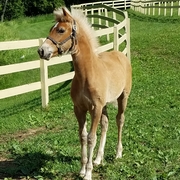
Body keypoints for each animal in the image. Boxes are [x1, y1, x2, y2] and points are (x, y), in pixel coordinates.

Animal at [38, 7, 131, 180]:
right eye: (51, 28)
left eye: (61, 30)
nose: (41, 50)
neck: (87, 74)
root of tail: (121, 55)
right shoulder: (79, 109)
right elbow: (82, 136)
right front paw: (82, 169)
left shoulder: (95, 108)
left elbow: (91, 138)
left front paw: (88, 173)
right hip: (104, 106)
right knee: (106, 124)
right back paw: (98, 159)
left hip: (123, 98)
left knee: (119, 120)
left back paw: (118, 153)